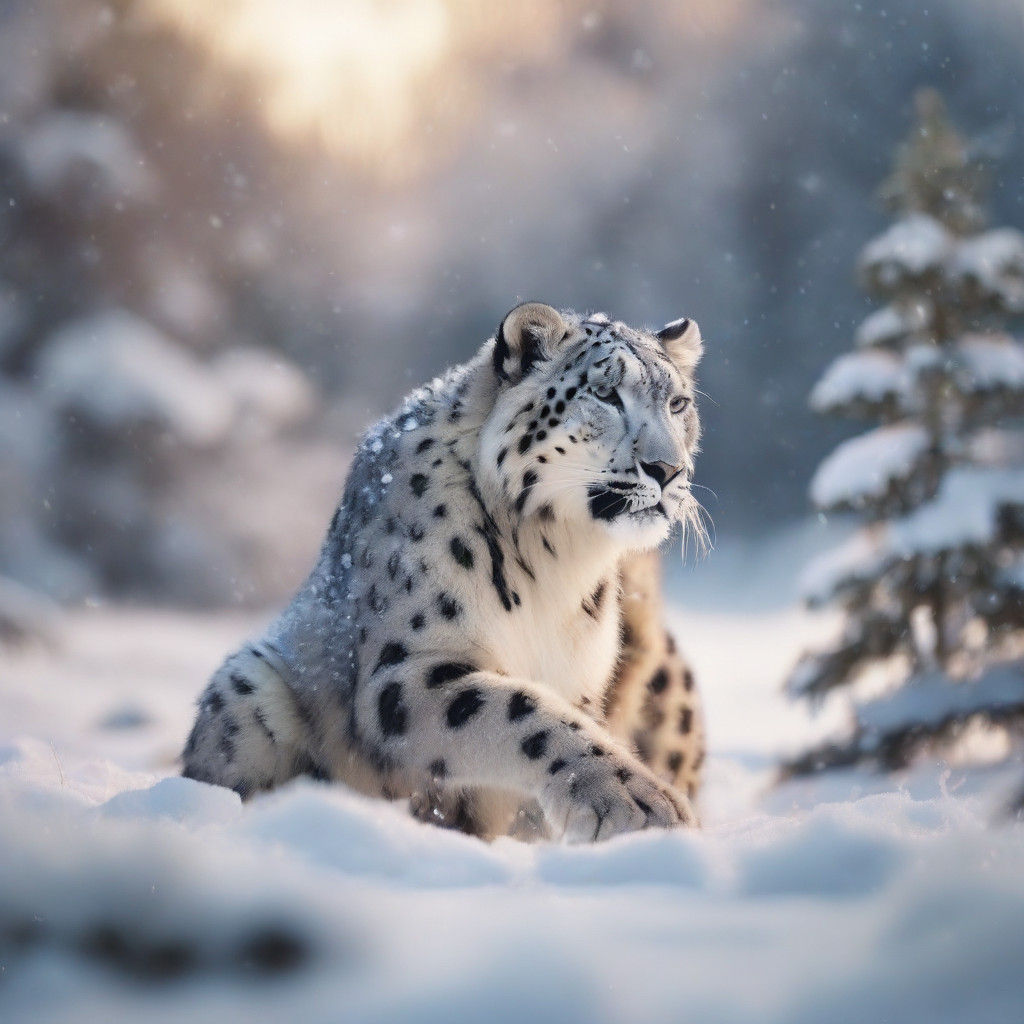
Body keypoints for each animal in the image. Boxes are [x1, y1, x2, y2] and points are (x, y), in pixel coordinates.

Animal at [182, 302, 708, 842]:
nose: (667, 469)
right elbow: (526, 714)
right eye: (605, 393)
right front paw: (639, 803)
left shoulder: (578, 680)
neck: (557, 562)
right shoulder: (410, 667)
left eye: (678, 403)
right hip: (249, 685)